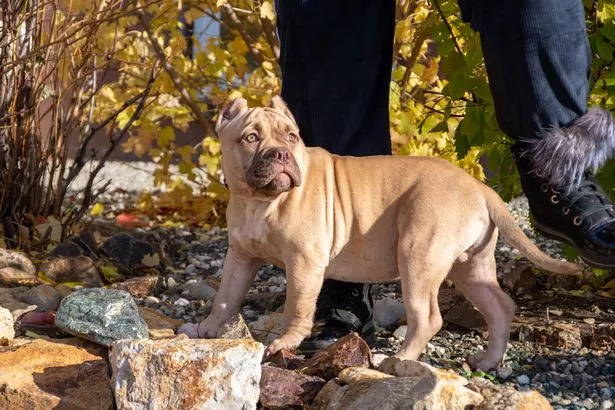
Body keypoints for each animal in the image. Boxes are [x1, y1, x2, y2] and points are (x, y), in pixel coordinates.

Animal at [179, 97, 584, 372]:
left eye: (291, 137)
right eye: (250, 138)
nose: (280, 154)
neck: (260, 201)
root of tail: (479, 187)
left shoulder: (304, 262)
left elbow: (296, 307)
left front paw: (285, 342)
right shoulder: (240, 257)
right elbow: (226, 297)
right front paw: (208, 328)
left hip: (418, 256)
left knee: (428, 317)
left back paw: (398, 358)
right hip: (470, 267)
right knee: (499, 306)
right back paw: (487, 360)